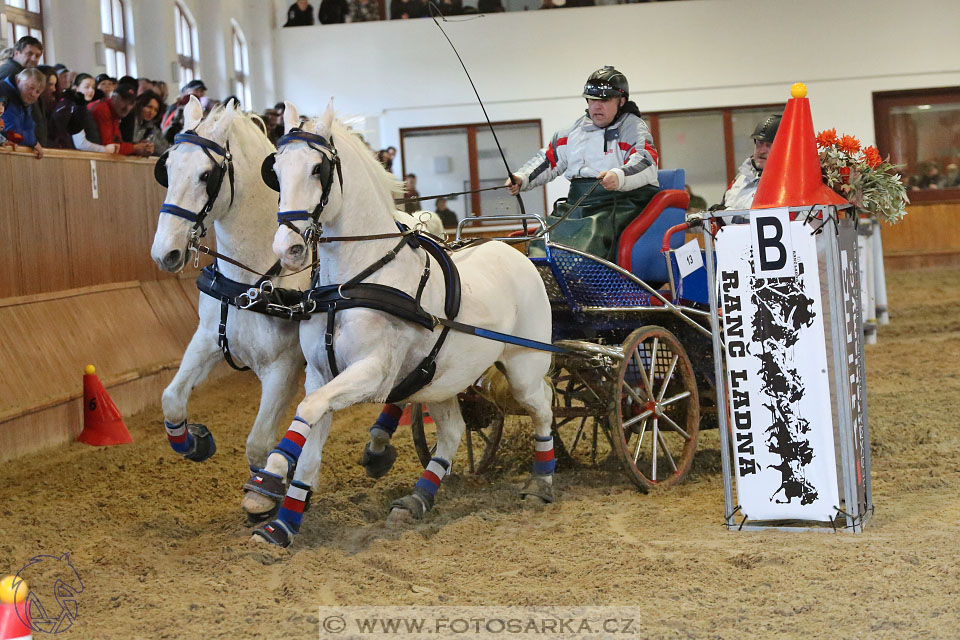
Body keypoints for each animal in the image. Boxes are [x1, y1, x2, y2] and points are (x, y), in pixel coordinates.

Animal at [148, 97, 310, 492]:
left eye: (207, 176)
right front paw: (195, 442)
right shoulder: (208, 338)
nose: (164, 253)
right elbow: (171, 398)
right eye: (167, 170)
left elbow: (259, 444)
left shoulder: (283, 367)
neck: (250, 283)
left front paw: (269, 490)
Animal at [242, 102, 556, 548]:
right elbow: (310, 435)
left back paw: (541, 483)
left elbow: (308, 410)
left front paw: (268, 481)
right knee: (454, 431)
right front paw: (281, 522)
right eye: (277, 170)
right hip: (440, 378)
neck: (350, 285)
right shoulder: (321, 374)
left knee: (542, 406)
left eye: (319, 169)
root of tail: (517, 250)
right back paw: (417, 499)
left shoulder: (373, 374)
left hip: (524, 364)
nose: (288, 248)